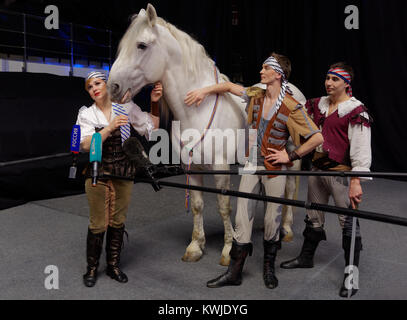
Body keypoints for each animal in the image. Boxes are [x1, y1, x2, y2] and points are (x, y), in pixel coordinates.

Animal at [108, 3, 302, 266]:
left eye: (141, 45)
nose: (112, 87)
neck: (196, 110)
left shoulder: (220, 167)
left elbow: (223, 206)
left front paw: (228, 250)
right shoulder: (192, 167)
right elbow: (198, 205)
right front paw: (195, 247)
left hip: (291, 158)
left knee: (289, 188)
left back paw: (287, 229)